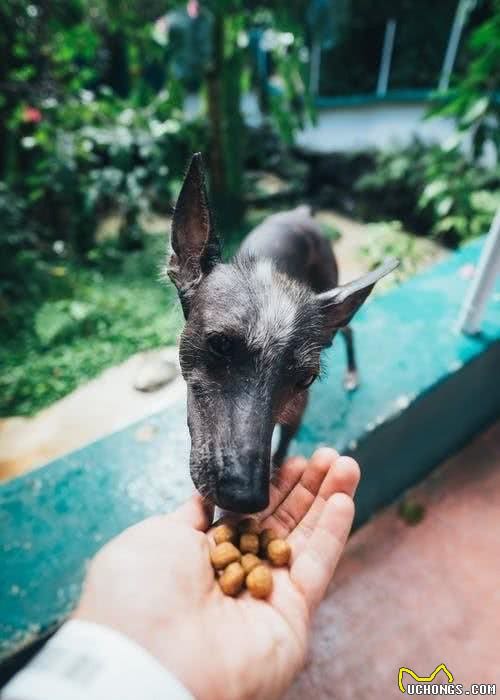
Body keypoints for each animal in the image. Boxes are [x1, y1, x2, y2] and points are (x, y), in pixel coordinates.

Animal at [168, 154, 398, 516]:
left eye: (305, 379)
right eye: (220, 344)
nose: (245, 497)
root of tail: (301, 214)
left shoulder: (295, 415)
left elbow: (281, 451)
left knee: (347, 331)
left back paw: (351, 373)